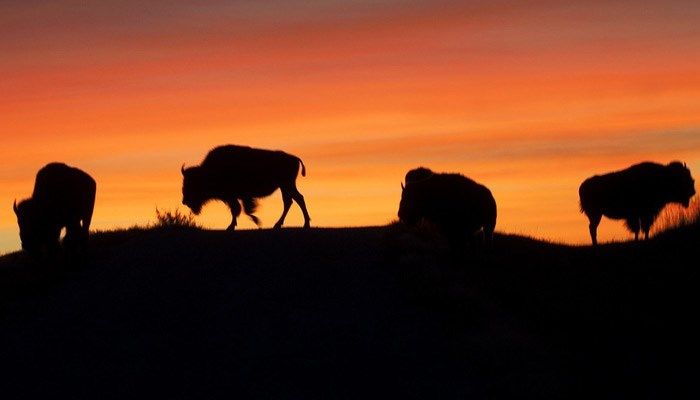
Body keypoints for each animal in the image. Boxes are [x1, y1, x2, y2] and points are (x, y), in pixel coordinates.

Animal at [181, 144, 311, 230]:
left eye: (192, 184)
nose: (184, 201)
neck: (209, 172)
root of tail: (294, 158)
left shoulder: (236, 196)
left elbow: (240, 210)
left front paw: (254, 222)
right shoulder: (235, 197)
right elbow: (238, 210)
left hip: (287, 185)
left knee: (296, 199)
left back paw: (303, 224)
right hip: (285, 186)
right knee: (291, 201)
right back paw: (282, 224)